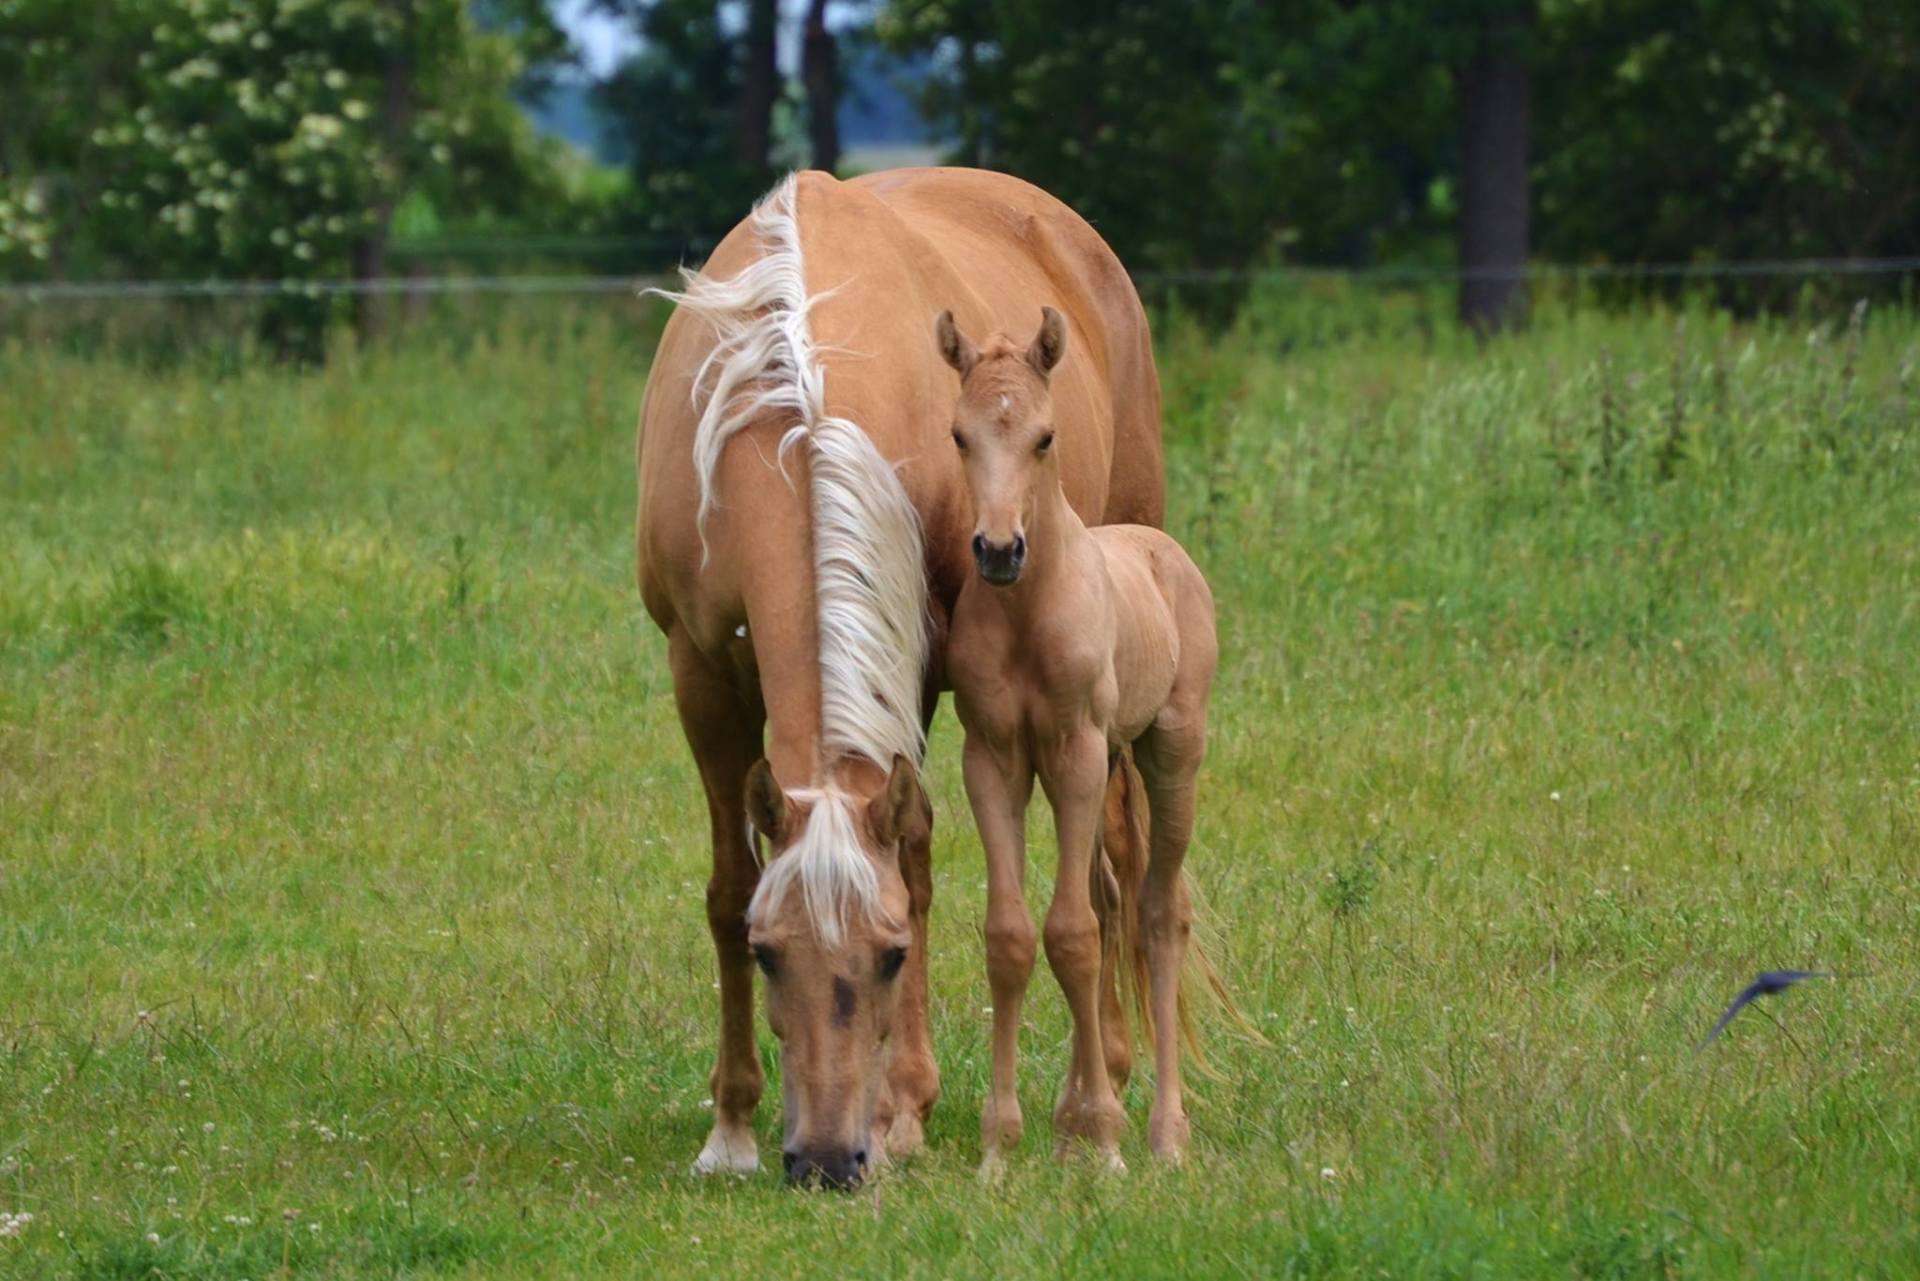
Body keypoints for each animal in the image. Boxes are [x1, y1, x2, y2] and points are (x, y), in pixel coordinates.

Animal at [636, 168, 1164, 1187]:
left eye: (887, 956)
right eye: (768, 953)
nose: (825, 1159)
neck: (790, 405)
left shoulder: (912, 664)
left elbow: (914, 861)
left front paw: (903, 1111)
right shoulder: (700, 672)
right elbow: (727, 883)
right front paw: (731, 1126)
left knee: (1116, 857)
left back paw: (1108, 1080)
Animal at [937, 306, 1218, 1170]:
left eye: (1045, 437)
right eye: (960, 435)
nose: (998, 550)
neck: (1028, 614)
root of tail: (1167, 552)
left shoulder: (1076, 751)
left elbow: (1075, 933)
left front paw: (1103, 1136)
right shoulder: (993, 759)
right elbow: (1013, 933)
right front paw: (1001, 1146)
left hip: (1167, 756)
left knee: (1158, 911)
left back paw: (1165, 1132)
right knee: (1112, 897)